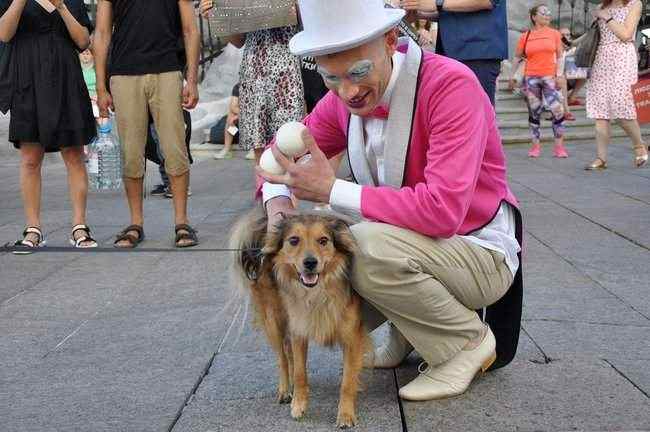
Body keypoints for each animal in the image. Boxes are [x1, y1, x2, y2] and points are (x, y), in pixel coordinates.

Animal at [230, 207, 368, 428]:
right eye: (294, 240)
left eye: (323, 240)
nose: (310, 262)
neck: (317, 292)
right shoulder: (298, 329)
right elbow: (300, 373)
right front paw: (298, 405)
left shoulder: (352, 337)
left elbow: (347, 381)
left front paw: (345, 414)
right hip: (274, 320)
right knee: (283, 357)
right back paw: (286, 390)